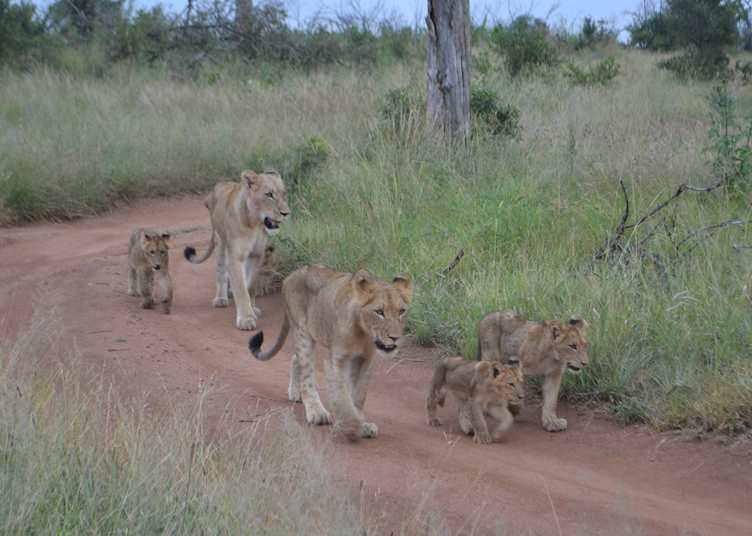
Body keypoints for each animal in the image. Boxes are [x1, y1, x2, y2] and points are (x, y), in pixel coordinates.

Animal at [184, 170, 290, 330]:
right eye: (269, 194)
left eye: (284, 194)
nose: (286, 213)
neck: (254, 224)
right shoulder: (236, 256)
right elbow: (240, 287)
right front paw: (246, 319)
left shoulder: (257, 254)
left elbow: (249, 285)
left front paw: (252, 309)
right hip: (221, 241)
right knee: (221, 271)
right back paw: (221, 298)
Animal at [248, 264, 413, 441]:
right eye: (379, 312)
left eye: (401, 311)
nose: (395, 338)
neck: (363, 333)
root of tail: (295, 272)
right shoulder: (337, 360)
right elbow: (341, 392)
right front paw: (350, 423)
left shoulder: (365, 360)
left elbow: (358, 395)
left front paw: (362, 424)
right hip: (302, 332)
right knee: (306, 373)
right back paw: (316, 412)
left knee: (295, 358)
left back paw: (295, 392)